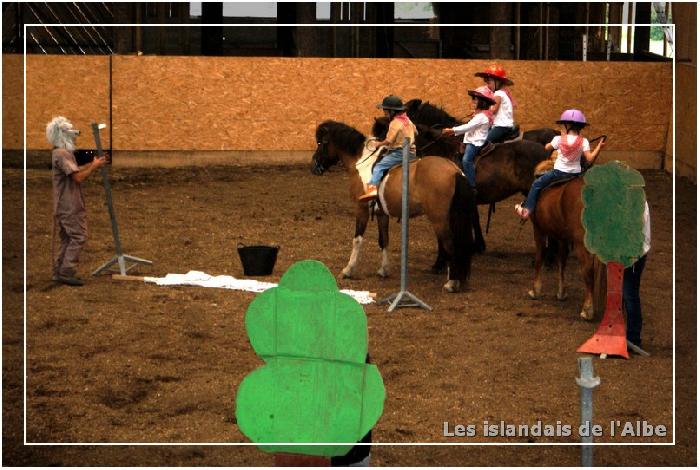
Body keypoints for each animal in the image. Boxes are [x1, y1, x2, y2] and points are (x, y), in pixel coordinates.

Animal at [312, 119, 476, 292]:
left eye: (321, 142)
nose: (314, 166)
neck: (362, 163)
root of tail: (454, 171)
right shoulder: (381, 213)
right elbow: (384, 240)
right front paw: (383, 270)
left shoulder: (361, 208)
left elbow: (357, 240)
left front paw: (348, 270)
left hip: (440, 219)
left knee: (451, 244)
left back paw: (451, 282)